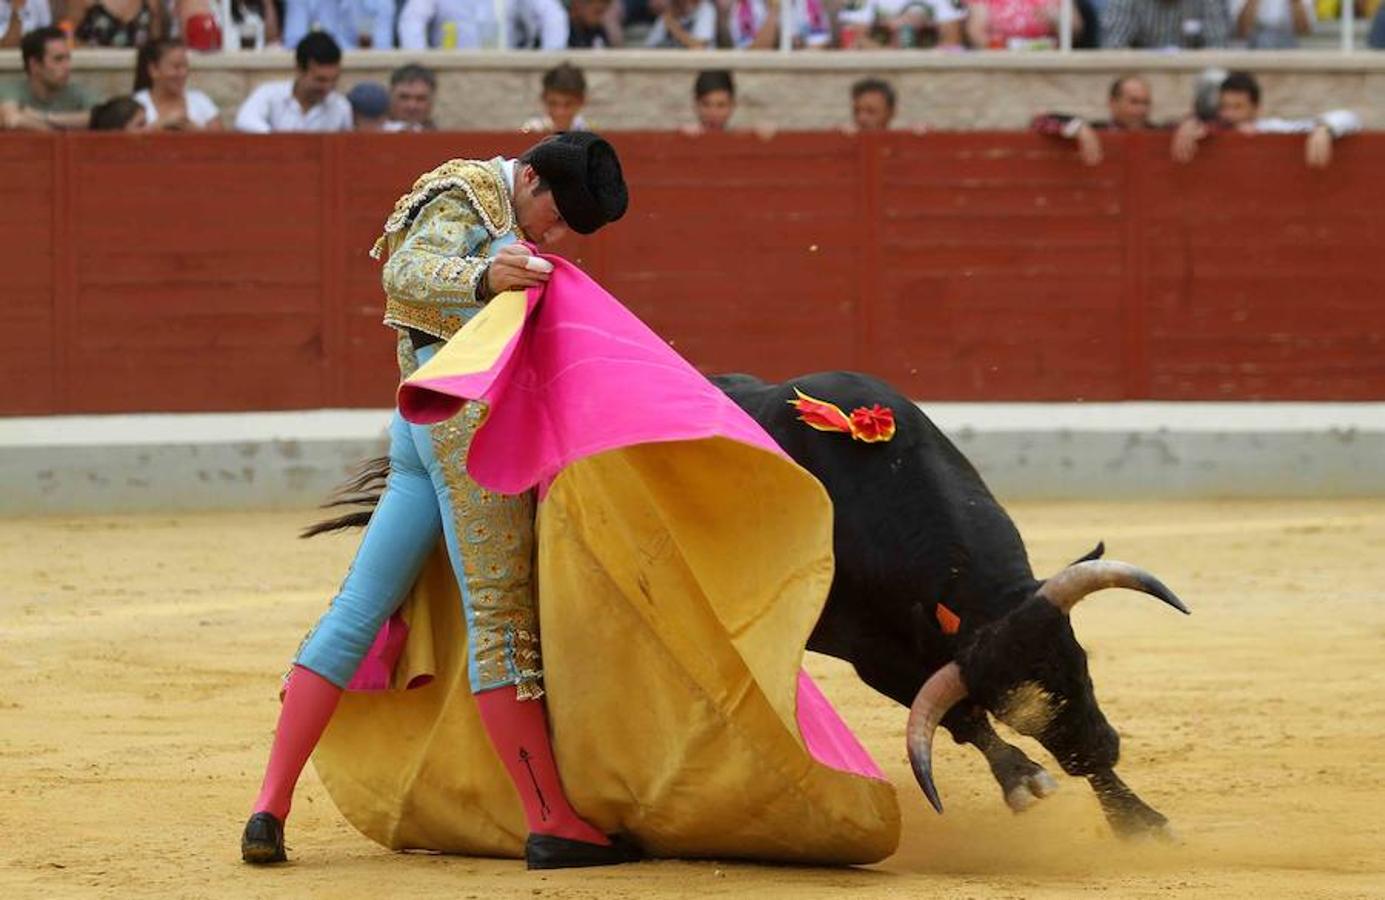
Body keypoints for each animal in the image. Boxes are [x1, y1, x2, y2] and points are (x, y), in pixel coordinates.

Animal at [317, 368, 1191, 836]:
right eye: (1023, 706)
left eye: (1077, 662)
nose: (1100, 749)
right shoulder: (877, 653)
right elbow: (957, 715)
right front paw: (1023, 781)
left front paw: (1136, 819)